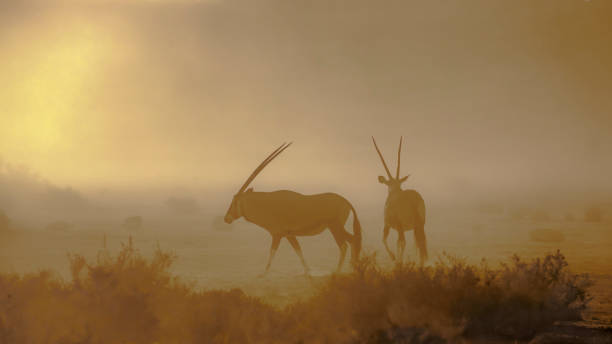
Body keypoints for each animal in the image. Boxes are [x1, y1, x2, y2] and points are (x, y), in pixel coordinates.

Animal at [224, 144, 360, 276]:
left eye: (235, 201)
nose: (226, 219)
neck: (267, 205)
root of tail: (345, 201)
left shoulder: (277, 235)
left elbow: (272, 251)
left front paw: (263, 273)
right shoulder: (289, 235)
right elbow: (298, 250)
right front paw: (307, 270)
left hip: (335, 227)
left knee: (344, 245)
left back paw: (338, 271)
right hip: (336, 228)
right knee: (353, 240)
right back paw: (352, 268)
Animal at [370, 136, 428, 264]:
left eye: (388, 184)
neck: (396, 191)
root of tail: (414, 200)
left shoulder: (388, 225)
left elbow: (384, 240)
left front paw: (394, 258)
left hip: (402, 226)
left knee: (403, 241)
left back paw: (401, 261)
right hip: (419, 225)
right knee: (420, 243)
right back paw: (420, 264)